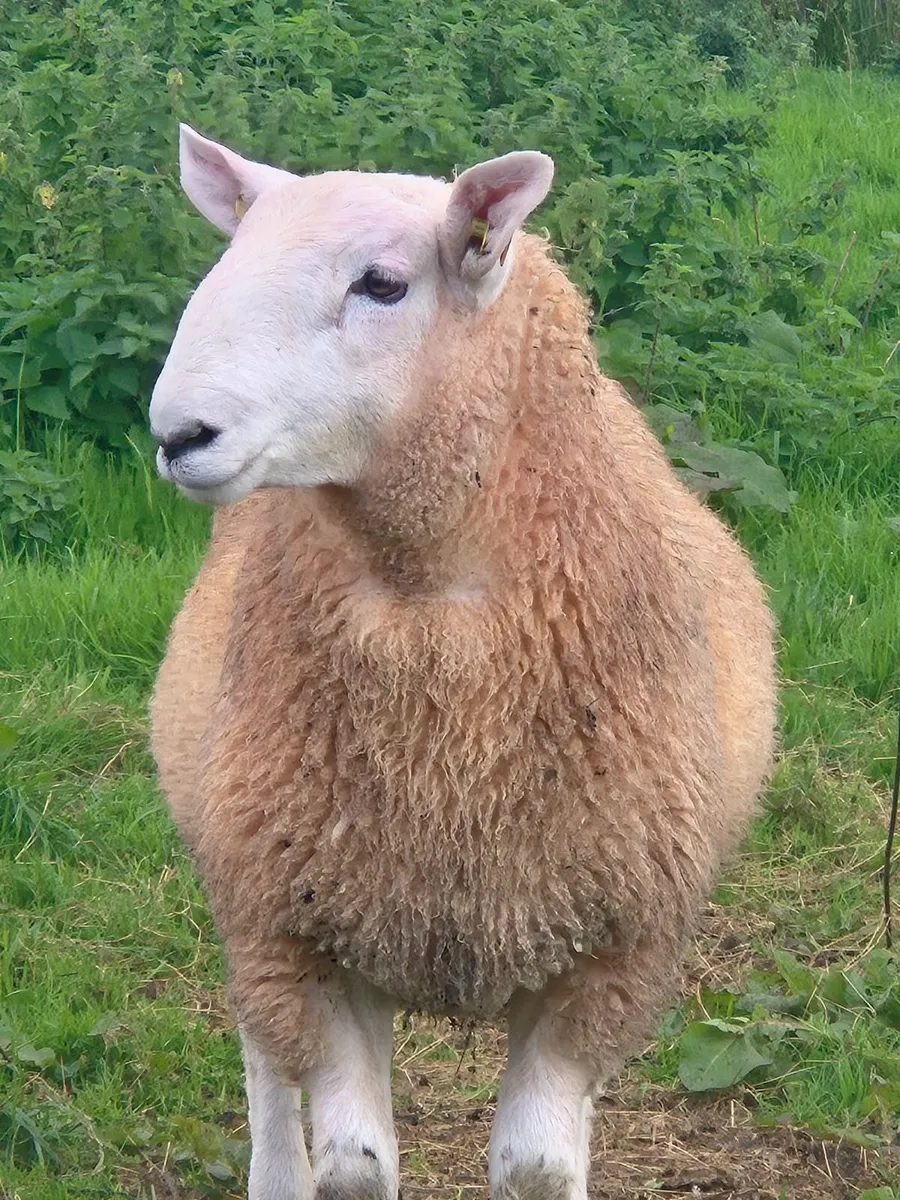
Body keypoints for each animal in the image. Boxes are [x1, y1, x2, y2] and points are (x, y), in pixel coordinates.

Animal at [149, 124, 777, 1200]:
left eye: (383, 284)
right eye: (228, 260)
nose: (178, 433)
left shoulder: (609, 959)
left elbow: (537, 1167)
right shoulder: (305, 941)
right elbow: (353, 1170)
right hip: (252, 888)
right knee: (268, 1072)